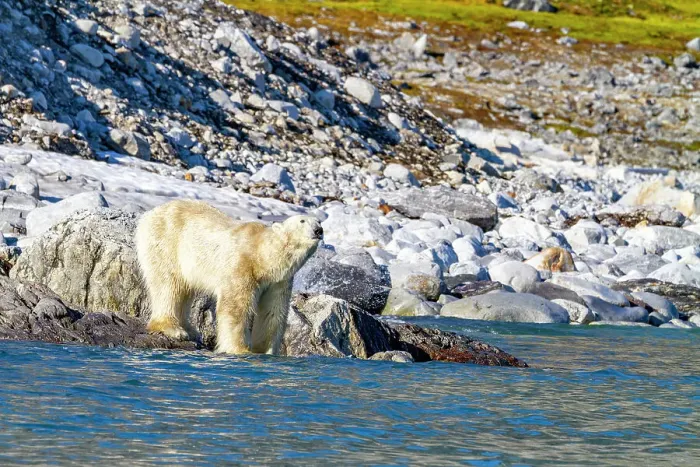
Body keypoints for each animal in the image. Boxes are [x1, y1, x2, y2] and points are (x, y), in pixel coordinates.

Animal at [134, 200, 322, 355]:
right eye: (302, 221)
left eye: (319, 221)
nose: (318, 230)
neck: (261, 256)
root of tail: (148, 214)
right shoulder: (242, 266)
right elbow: (235, 307)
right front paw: (240, 349)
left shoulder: (278, 282)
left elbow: (273, 312)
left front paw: (266, 351)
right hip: (167, 241)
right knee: (168, 284)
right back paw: (173, 329)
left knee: (185, 290)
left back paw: (191, 330)